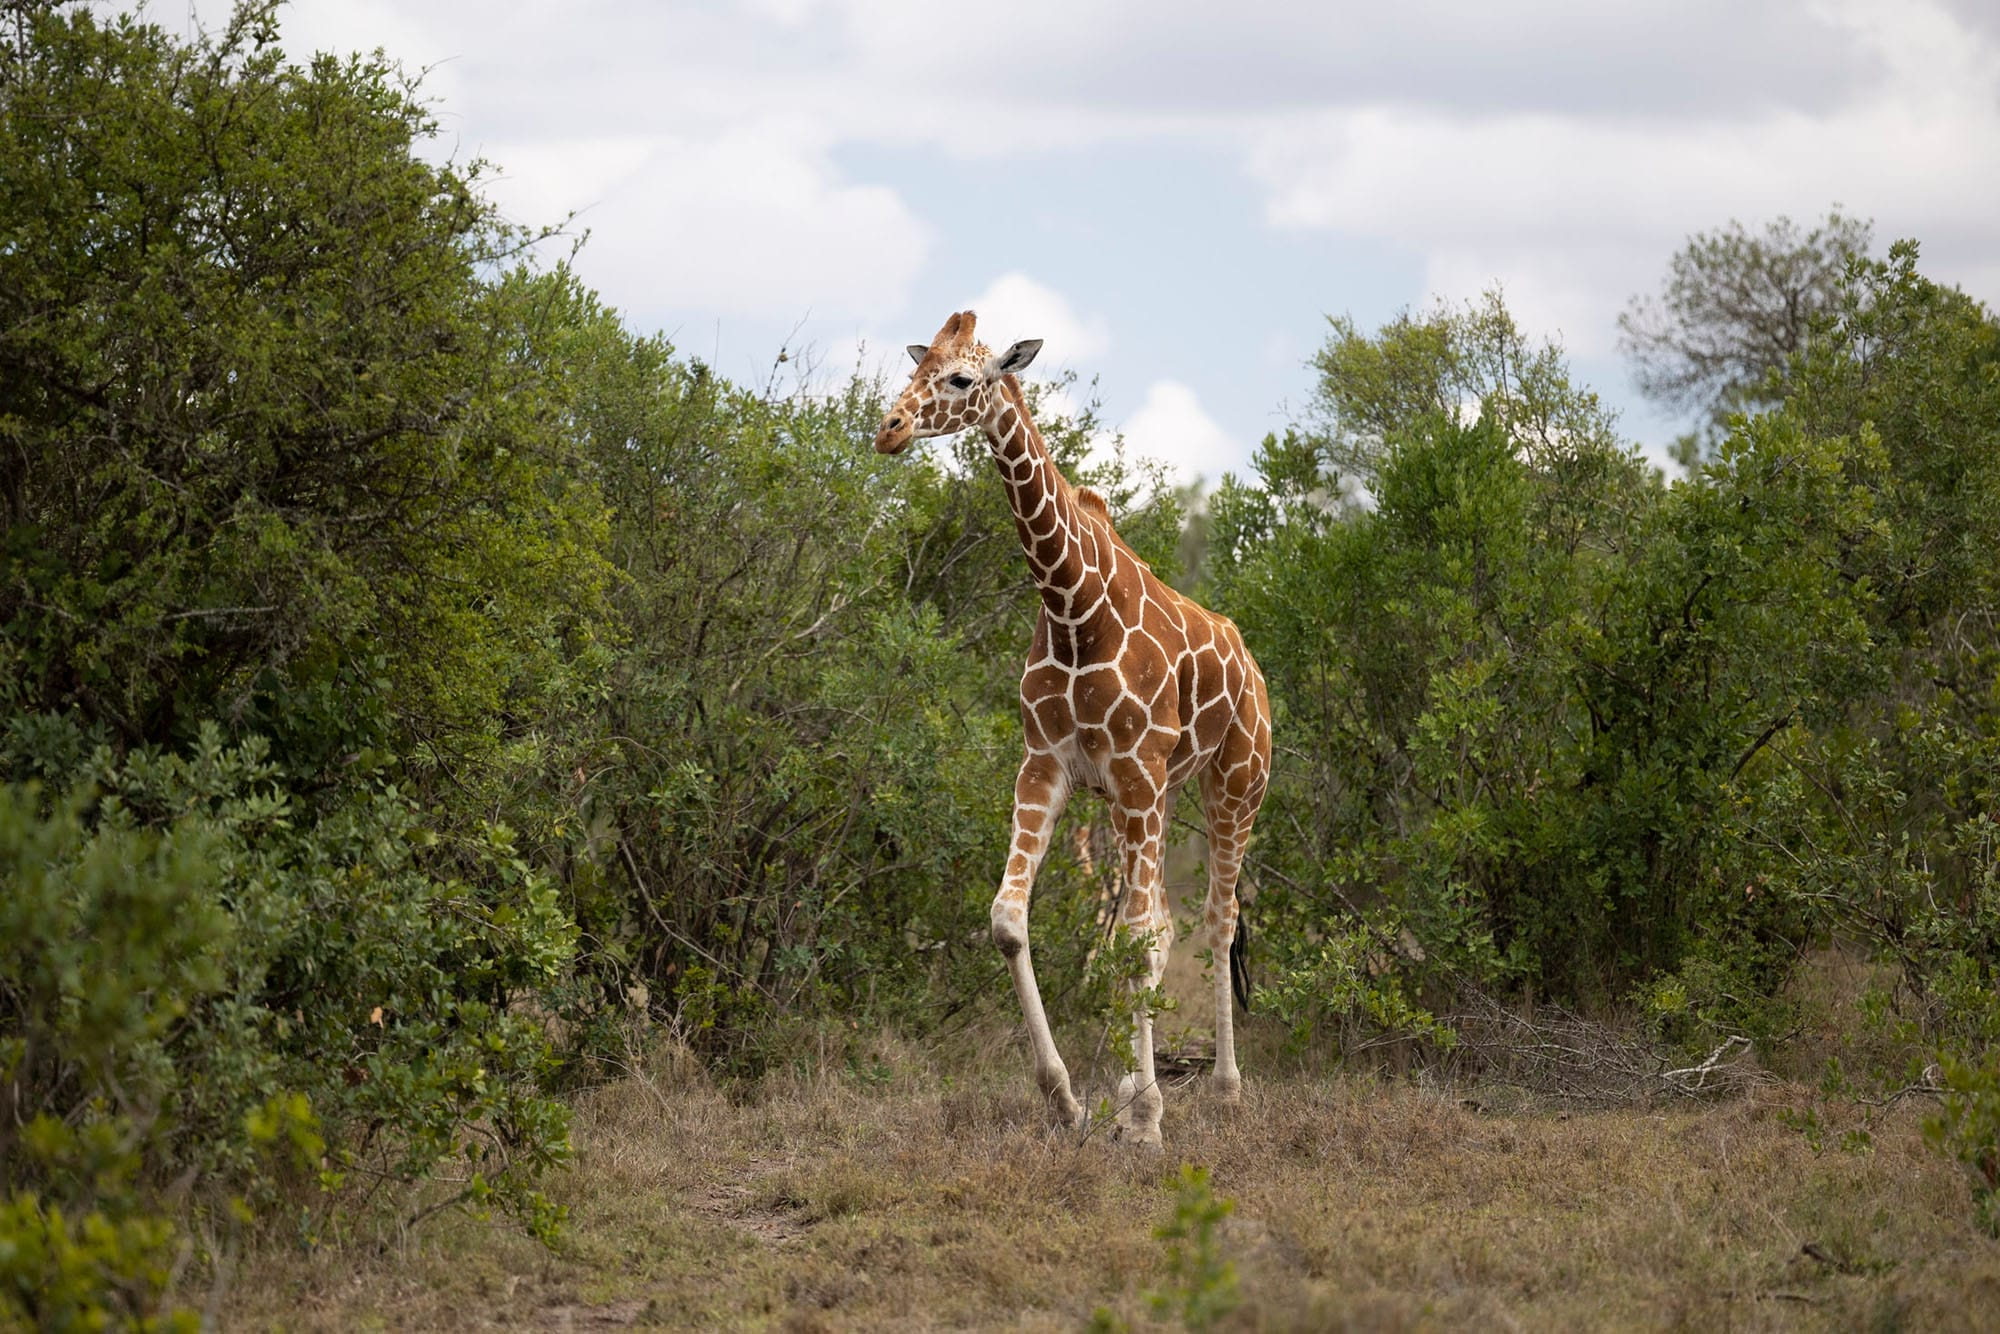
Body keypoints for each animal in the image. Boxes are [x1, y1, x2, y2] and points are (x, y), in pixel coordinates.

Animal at [874, 310, 1272, 1148]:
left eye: (961, 378)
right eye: (918, 368)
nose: (889, 430)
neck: (1071, 605)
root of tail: (1252, 663)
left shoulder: (1139, 772)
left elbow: (1140, 940)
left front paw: (1148, 1118)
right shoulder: (1048, 767)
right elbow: (1009, 920)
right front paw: (1071, 1100)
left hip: (1234, 785)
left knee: (1216, 922)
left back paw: (1223, 1092)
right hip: (1141, 807)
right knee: (1156, 927)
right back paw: (1125, 1087)